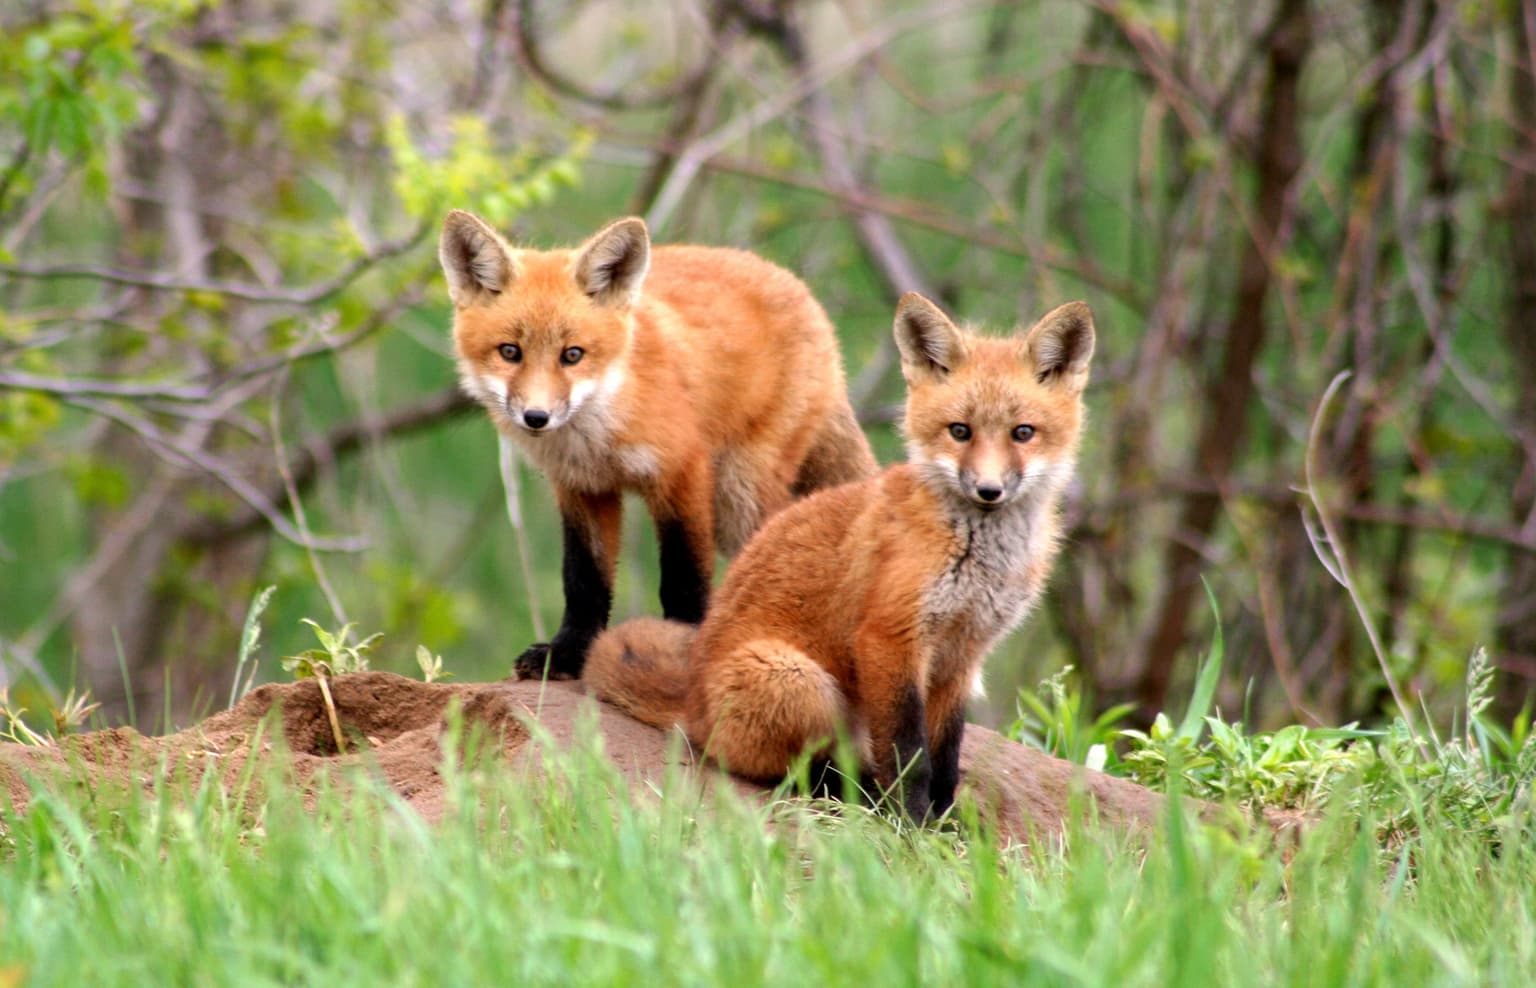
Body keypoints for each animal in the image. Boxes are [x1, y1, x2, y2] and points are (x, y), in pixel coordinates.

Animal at [440, 210, 877, 680]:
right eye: (510, 352)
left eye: (572, 355)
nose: (536, 417)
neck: (598, 435)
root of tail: (802, 291)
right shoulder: (581, 488)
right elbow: (584, 581)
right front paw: (567, 653)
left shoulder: (682, 472)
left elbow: (683, 577)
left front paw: (680, 648)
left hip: (738, 496)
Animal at [582, 292, 1095, 820]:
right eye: (960, 431)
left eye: (1022, 433)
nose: (989, 491)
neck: (978, 557)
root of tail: (691, 704)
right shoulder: (890, 637)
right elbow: (910, 755)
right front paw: (913, 822)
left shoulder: (963, 656)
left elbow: (945, 754)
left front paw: (944, 820)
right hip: (799, 681)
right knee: (787, 768)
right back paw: (857, 794)